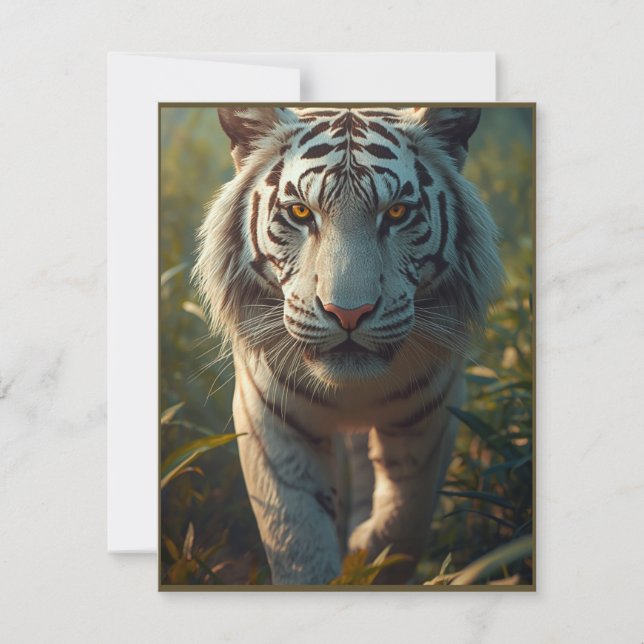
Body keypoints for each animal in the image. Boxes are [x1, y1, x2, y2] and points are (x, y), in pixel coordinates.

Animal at [193, 106, 503, 585]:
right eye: (301, 212)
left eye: (397, 212)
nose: (348, 313)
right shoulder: (269, 419)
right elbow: (296, 538)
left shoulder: (435, 410)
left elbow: (405, 517)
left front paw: (369, 558)